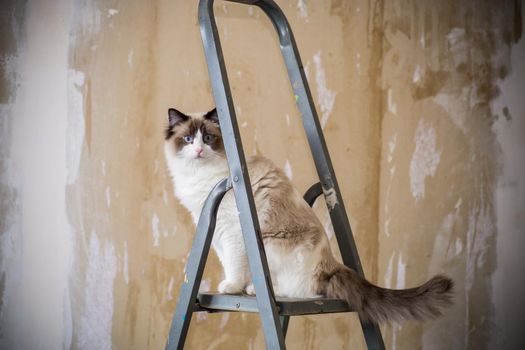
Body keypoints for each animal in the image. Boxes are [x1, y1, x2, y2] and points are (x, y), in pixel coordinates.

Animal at [164, 107, 450, 322]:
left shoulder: (232, 230)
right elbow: (227, 262)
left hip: (270, 244)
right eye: (188, 139)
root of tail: (331, 265)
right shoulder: (216, 232)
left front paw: (231, 287)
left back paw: (253, 289)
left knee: (295, 290)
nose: (199, 150)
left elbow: (234, 265)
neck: (200, 176)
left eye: (208, 138)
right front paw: (231, 285)